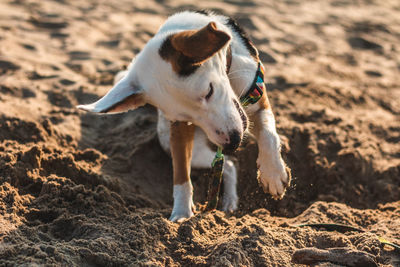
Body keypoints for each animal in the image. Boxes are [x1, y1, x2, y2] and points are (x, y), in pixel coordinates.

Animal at [78, 10, 290, 223]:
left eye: (209, 91)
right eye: (186, 118)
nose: (233, 142)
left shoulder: (258, 100)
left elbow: (269, 136)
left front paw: (272, 174)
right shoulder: (179, 130)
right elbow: (181, 175)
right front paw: (181, 213)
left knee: (231, 162)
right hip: (185, 148)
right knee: (229, 164)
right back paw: (228, 202)